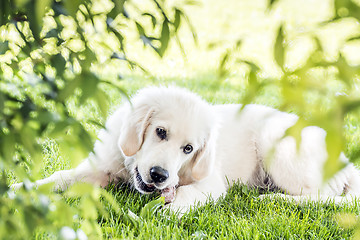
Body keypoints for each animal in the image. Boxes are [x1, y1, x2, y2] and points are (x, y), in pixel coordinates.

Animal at [11, 86, 360, 212]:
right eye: (160, 132)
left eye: (189, 149)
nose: (159, 175)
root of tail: (347, 162)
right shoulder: (99, 168)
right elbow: (59, 178)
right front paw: (17, 190)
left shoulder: (211, 182)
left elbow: (187, 195)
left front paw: (166, 210)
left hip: (277, 142)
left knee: (323, 196)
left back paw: (274, 198)